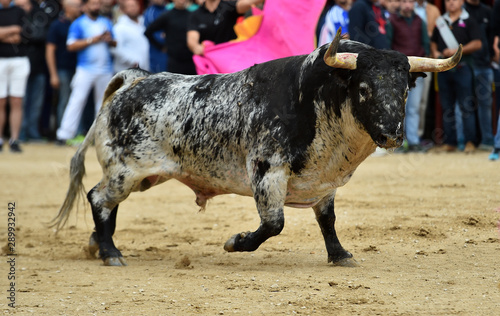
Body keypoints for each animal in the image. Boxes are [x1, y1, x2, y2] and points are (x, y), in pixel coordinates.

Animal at [51, 30, 460, 266]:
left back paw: (98, 244)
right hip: (125, 170)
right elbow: (273, 224)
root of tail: (134, 80)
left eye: (405, 89)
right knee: (99, 198)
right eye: (363, 88)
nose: (392, 135)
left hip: (141, 177)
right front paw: (236, 242)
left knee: (108, 204)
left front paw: (340, 255)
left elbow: (327, 221)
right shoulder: (267, 171)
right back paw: (109, 252)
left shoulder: (324, 183)